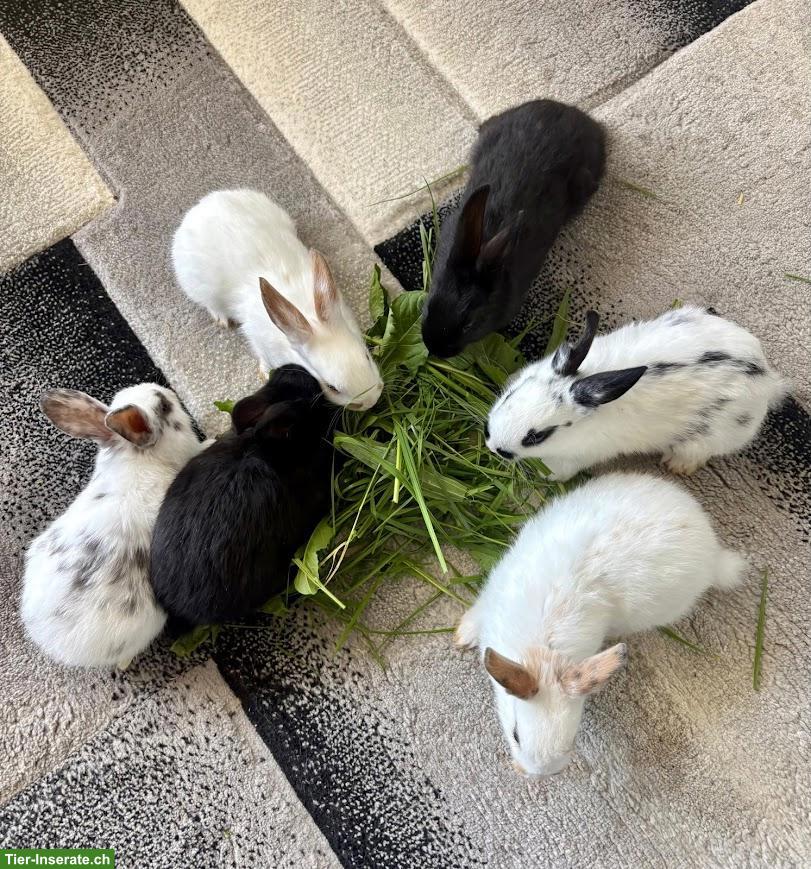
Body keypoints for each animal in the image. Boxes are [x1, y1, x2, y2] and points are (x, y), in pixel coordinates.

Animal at [172, 189, 383, 410]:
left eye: (367, 357)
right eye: (331, 387)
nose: (370, 401)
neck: (307, 315)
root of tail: (198, 209)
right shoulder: (258, 341)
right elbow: (261, 356)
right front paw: (264, 373)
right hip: (198, 287)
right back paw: (221, 319)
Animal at [455, 472, 746, 778]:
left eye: (572, 740)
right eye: (515, 735)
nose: (535, 775)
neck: (543, 651)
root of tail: (714, 554)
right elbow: (477, 613)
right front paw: (462, 636)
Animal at [485, 305, 789, 480]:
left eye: (538, 436)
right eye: (510, 396)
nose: (493, 447)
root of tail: (765, 378)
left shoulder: (574, 458)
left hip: (707, 439)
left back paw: (677, 466)